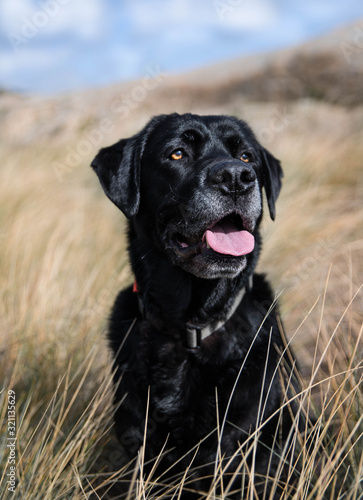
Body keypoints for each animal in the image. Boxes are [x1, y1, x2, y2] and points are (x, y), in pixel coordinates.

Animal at [91, 114, 302, 500]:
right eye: (177, 153)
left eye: (247, 156)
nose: (235, 177)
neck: (190, 326)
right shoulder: (141, 452)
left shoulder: (250, 455)